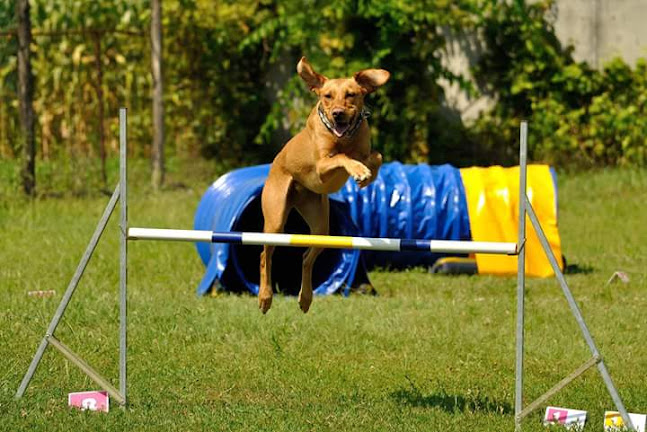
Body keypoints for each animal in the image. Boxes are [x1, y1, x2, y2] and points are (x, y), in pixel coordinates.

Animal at [258, 56, 390, 314]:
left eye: (351, 94)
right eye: (327, 96)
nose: (338, 114)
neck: (344, 137)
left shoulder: (363, 149)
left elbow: (376, 156)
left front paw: (366, 177)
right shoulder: (321, 167)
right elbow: (341, 157)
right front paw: (359, 171)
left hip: (321, 224)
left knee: (306, 257)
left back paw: (305, 298)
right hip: (275, 220)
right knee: (264, 255)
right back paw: (265, 297)